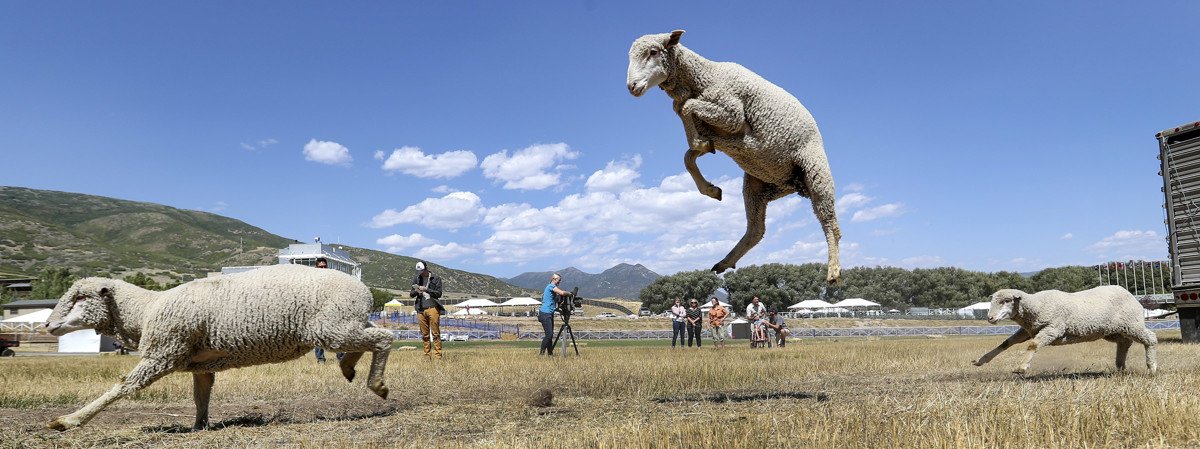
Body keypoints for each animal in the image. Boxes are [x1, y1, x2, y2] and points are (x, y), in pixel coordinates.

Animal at [42, 264, 394, 431]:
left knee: (385, 338)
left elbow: (125, 386)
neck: (146, 310)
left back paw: (376, 384)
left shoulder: (163, 352)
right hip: (342, 325)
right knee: (375, 335)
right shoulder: (200, 364)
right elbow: (201, 396)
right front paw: (199, 425)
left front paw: (69, 421)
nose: (47, 325)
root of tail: (364, 291)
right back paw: (348, 367)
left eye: (80, 297)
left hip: (333, 327)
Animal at [626, 30, 842, 283]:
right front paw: (711, 188)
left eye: (653, 52)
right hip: (759, 185)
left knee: (830, 223)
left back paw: (833, 271)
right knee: (756, 230)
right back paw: (724, 262)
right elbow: (688, 152)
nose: (631, 86)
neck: (704, 76)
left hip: (816, 170)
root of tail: (794, 185)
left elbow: (688, 109)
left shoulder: (732, 114)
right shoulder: (714, 131)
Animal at [971, 286, 1158, 375]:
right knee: (1124, 342)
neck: (1036, 306)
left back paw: (1152, 367)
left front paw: (1021, 367)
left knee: (1150, 338)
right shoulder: (1029, 330)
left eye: (1006, 301)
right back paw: (1120, 366)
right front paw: (982, 360)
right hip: (1111, 330)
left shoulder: (1052, 329)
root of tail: (1130, 294)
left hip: (1132, 324)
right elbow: (1005, 343)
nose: (990, 318)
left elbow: (1033, 346)